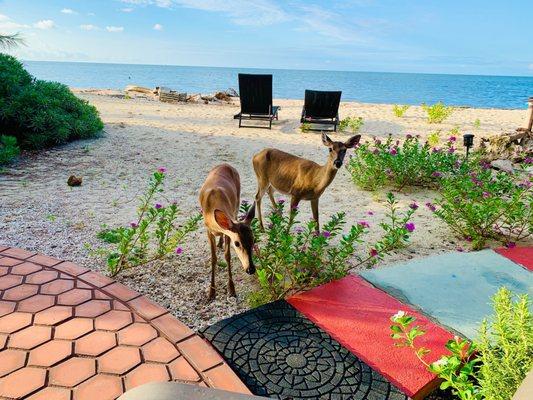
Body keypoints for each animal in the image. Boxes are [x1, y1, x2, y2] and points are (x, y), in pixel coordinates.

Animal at [201, 162, 256, 300]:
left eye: (254, 240)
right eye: (237, 243)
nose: (251, 269)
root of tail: (225, 164)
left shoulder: (228, 232)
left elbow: (227, 256)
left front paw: (231, 289)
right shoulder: (208, 230)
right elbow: (214, 258)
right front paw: (211, 292)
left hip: (237, 201)